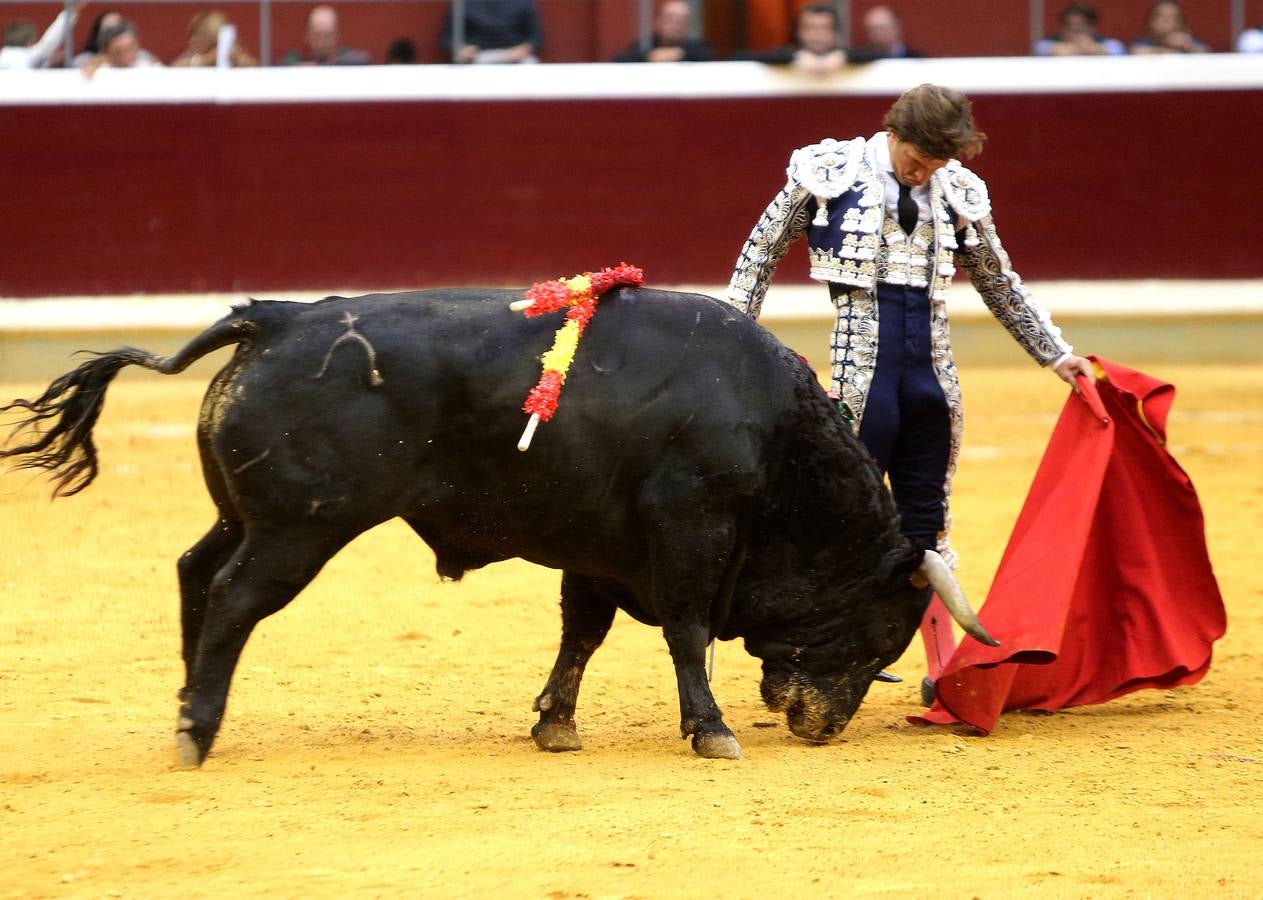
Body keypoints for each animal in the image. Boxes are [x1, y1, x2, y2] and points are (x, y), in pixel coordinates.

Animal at [2, 284, 995, 762]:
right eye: (879, 633)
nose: (823, 727)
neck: (768, 423)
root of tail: (273, 319)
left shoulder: (602, 548)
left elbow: (582, 634)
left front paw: (555, 725)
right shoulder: (689, 531)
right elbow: (684, 631)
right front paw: (710, 731)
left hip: (242, 515)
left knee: (194, 574)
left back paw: (186, 705)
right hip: (299, 530)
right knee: (238, 596)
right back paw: (198, 731)